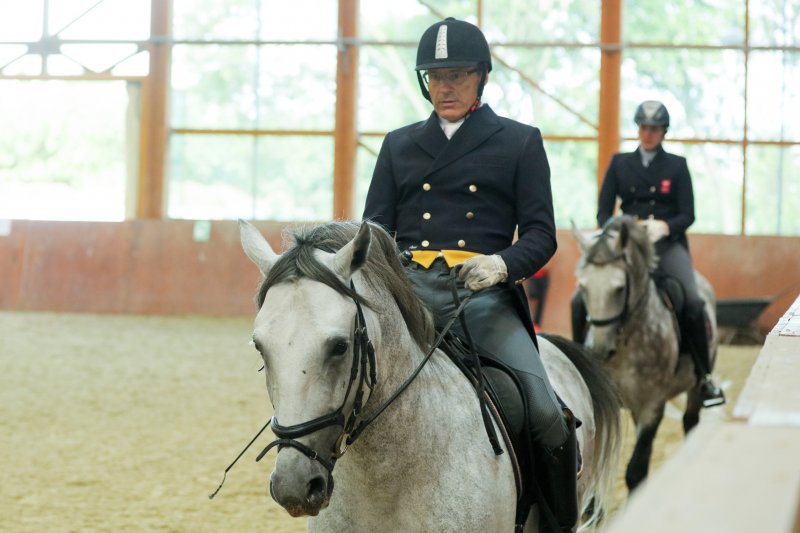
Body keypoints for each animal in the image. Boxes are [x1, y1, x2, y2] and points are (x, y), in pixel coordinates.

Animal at [576, 215, 720, 490]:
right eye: (583, 287)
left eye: (620, 288)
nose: (598, 352)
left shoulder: (652, 405)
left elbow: (635, 471)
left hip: (696, 387)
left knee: (690, 422)